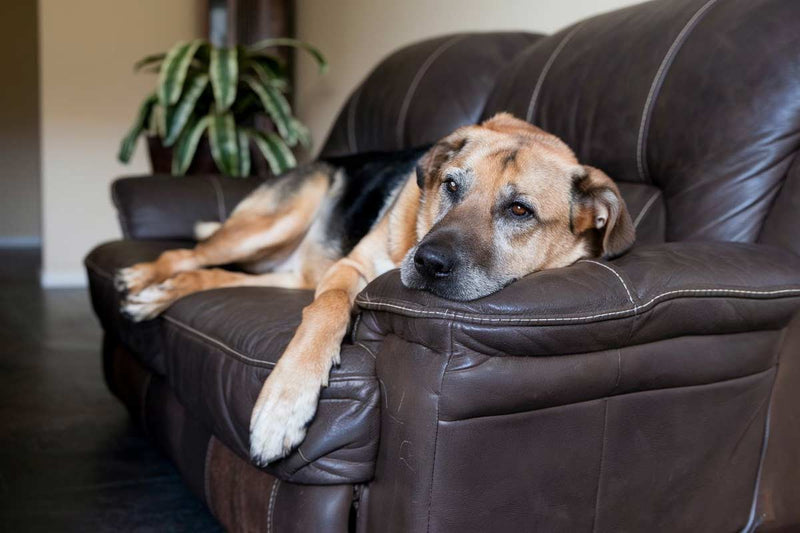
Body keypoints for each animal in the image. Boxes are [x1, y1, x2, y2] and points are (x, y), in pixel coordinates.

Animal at [115, 113, 636, 466]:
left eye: (520, 210)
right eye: (451, 186)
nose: (426, 262)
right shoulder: (348, 270)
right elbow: (325, 312)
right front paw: (283, 405)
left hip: (291, 271)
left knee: (208, 273)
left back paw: (157, 294)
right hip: (273, 222)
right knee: (186, 254)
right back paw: (141, 278)